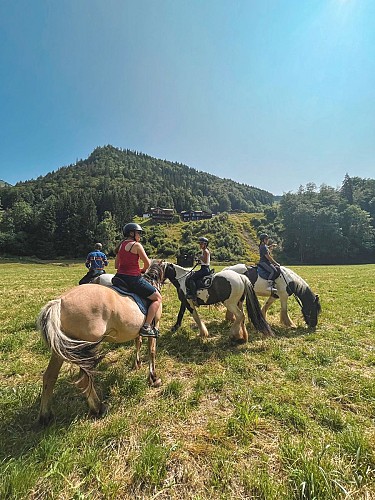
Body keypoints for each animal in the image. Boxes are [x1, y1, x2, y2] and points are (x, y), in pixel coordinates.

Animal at [37, 258, 166, 426]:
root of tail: (60, 302)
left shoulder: (138, 330)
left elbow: (138, 343)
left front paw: (137, 365)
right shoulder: (154, 326)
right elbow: (152, 351)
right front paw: (153, 378)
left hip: (61, 351)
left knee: (49, 377)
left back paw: (45, 416)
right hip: (86, 350)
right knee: (84, 380)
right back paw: (98, 408)